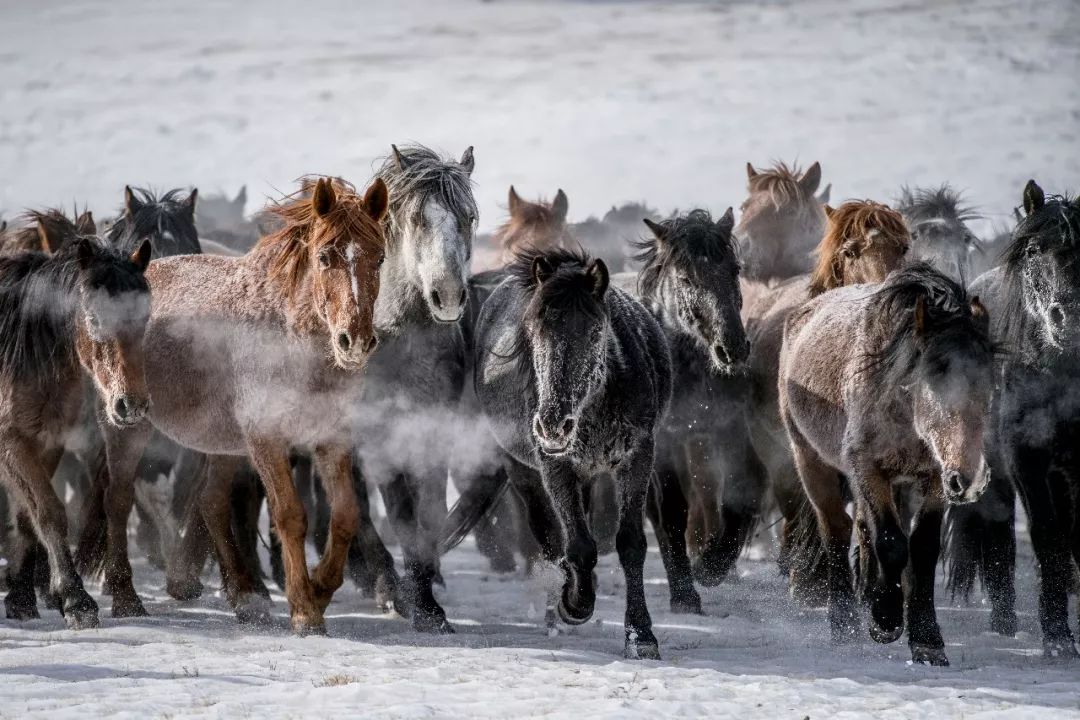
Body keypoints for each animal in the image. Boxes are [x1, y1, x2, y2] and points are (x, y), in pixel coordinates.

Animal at [0, 221, 153, 630]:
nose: (131, 405)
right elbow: (50, 512)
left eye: (145, 319)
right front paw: (75, 599)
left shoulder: (46, 442)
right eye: (94, 319)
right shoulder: (10, 442)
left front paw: (22, 598)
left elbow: (27, 516)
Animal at [95, 177, 386, 634]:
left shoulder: (330, 439)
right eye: (324, 256)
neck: (289, 335)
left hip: (222, 445)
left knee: (211, 503)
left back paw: (245, 598)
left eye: (380, 257)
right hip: (126, 425)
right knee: (118, 499)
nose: (354, 341)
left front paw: (320, 589)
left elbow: (345, 517)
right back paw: (126, 597)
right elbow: (290, 515)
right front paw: (304, 611)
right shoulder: (266, 438)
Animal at [781, 263, 989, 664]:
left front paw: (926, 639)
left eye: (987, 382)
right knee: (836, 529)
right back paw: (844, 623)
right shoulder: (868, 467)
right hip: (811, 461)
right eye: (935, 374)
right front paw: (886, 621)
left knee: (863, 528)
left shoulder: (933, 479)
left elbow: (921, 547)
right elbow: (892, 542)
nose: (970, 480)